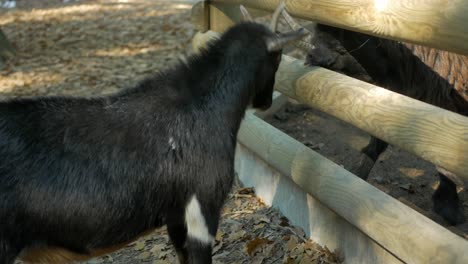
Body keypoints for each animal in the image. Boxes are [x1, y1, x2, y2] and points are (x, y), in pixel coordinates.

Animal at [278, 8, 468, 226]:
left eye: (340, 49)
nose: (317, 58)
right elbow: (376, 144)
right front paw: (354, 180)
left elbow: (442, 157)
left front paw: (448, 207)